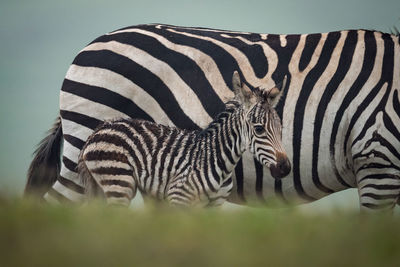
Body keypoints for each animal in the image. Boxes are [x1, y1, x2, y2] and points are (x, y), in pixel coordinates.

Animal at [77, 71, 290, 207]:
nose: (285, 168)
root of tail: (97, 131)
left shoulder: (213, 207)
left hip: (102, 186)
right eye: (259, 129)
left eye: (281, 129)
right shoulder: (179, 197)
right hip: (119, 182)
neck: (219, 160)